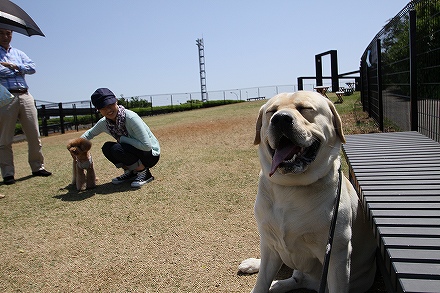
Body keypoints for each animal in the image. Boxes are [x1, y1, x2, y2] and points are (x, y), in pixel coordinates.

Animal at [239, 92, 376, 292]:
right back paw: (253, 264)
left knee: (296, 279)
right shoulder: (270, 241)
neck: (290, 187)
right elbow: (261, 282)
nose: (280, 119)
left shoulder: (336, 254)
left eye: (305, 108)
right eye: (271, 111)